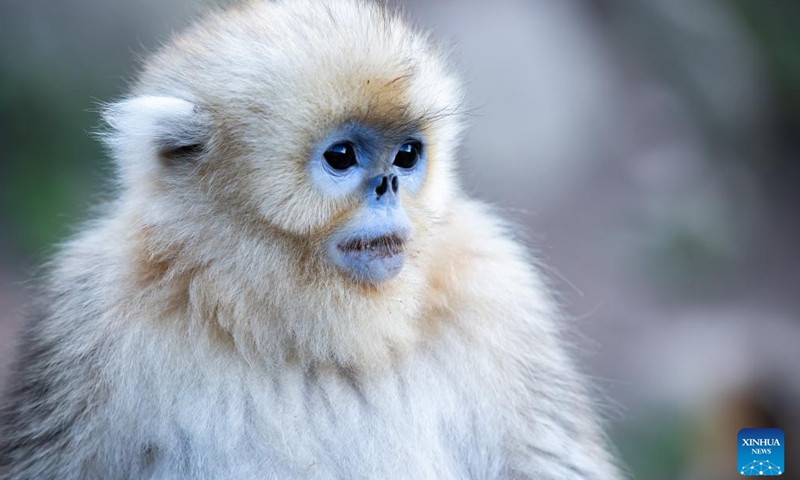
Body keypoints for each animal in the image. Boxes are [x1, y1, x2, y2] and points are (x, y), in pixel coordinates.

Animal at [0, 0, 620, 478]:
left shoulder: (496, 289)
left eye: (407, 154)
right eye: (341, 156)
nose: (389, 185)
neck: (308, 341)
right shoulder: (91, 312)